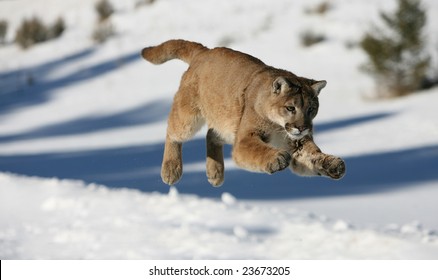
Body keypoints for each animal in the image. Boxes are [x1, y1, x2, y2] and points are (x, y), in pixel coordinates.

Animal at [141, 39, 346, 187]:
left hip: (228, 122)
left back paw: (215, 172)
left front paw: (333, 164)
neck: (278, 127)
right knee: (173, 132)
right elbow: (257, 148)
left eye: (311, 109)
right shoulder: (245, 139)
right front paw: (277, 158)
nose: (303, 128)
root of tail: (206, 50)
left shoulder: (298, 144)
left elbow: (312, 156)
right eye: (291, 108)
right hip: (189, 117)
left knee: (211, 134)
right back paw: (171, 170)